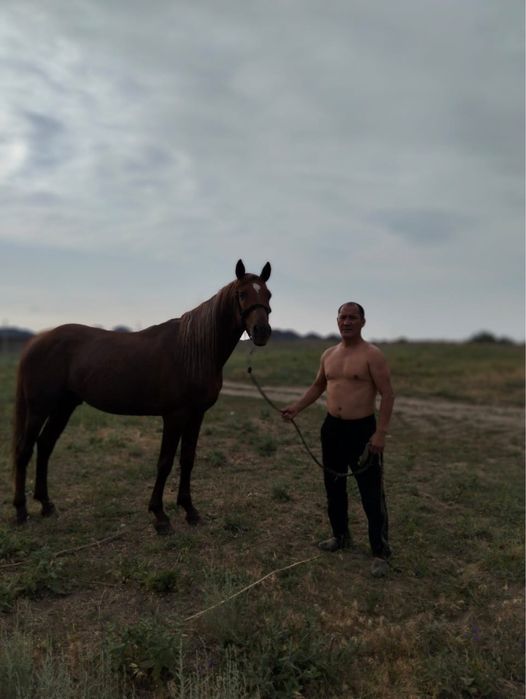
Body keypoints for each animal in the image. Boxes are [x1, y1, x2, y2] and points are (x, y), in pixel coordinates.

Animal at [12, 259, 272, 534]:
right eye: (241, 294)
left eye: (268, 294)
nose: (262, 331)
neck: (193, 351)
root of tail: (36, 341)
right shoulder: (174, 416)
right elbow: (165, 462)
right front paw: (160, 516)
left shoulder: (196, 415)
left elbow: (187, 459)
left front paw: (190, 511)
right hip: (39, 408)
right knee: (24, 450)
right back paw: (20, 511)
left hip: (63, 407)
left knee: (45, 445)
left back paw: (46, 505)